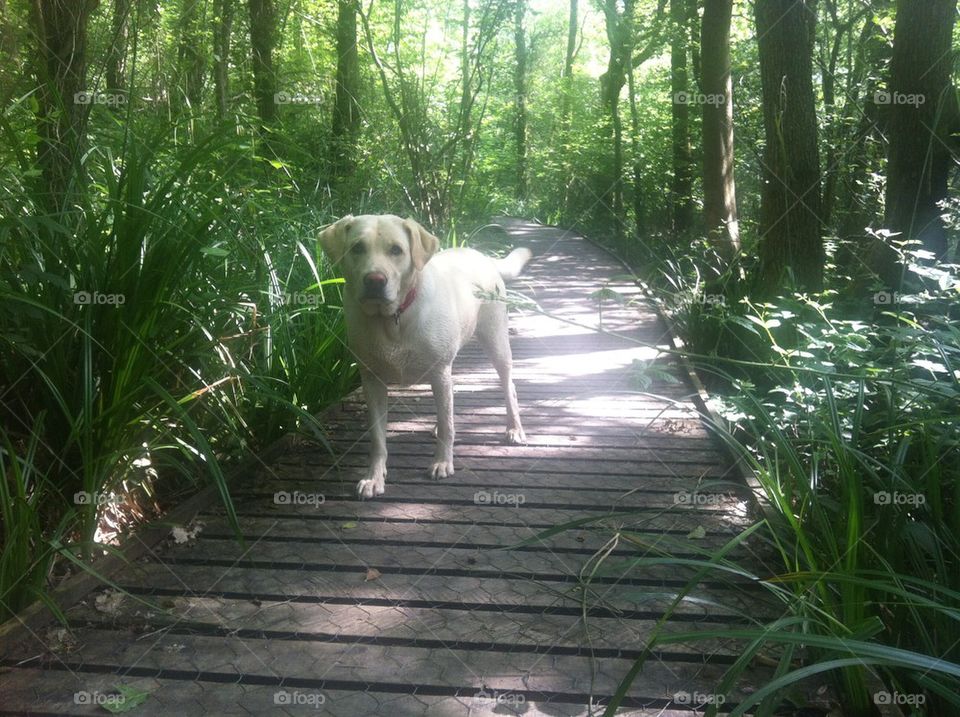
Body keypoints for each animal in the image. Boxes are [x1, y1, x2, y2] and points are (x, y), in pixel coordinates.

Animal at [322, 213, 532, 498]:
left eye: (396, 250)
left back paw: (514, 428)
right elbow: (377, 437)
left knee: (508, 386)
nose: (375, 280)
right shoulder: (372, 380)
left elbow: (448, 425)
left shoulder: (439, 370)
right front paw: (374, 477)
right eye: (357, 248)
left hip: (496, 341)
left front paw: (442, 462)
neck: (393, 318)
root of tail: (482, 255)